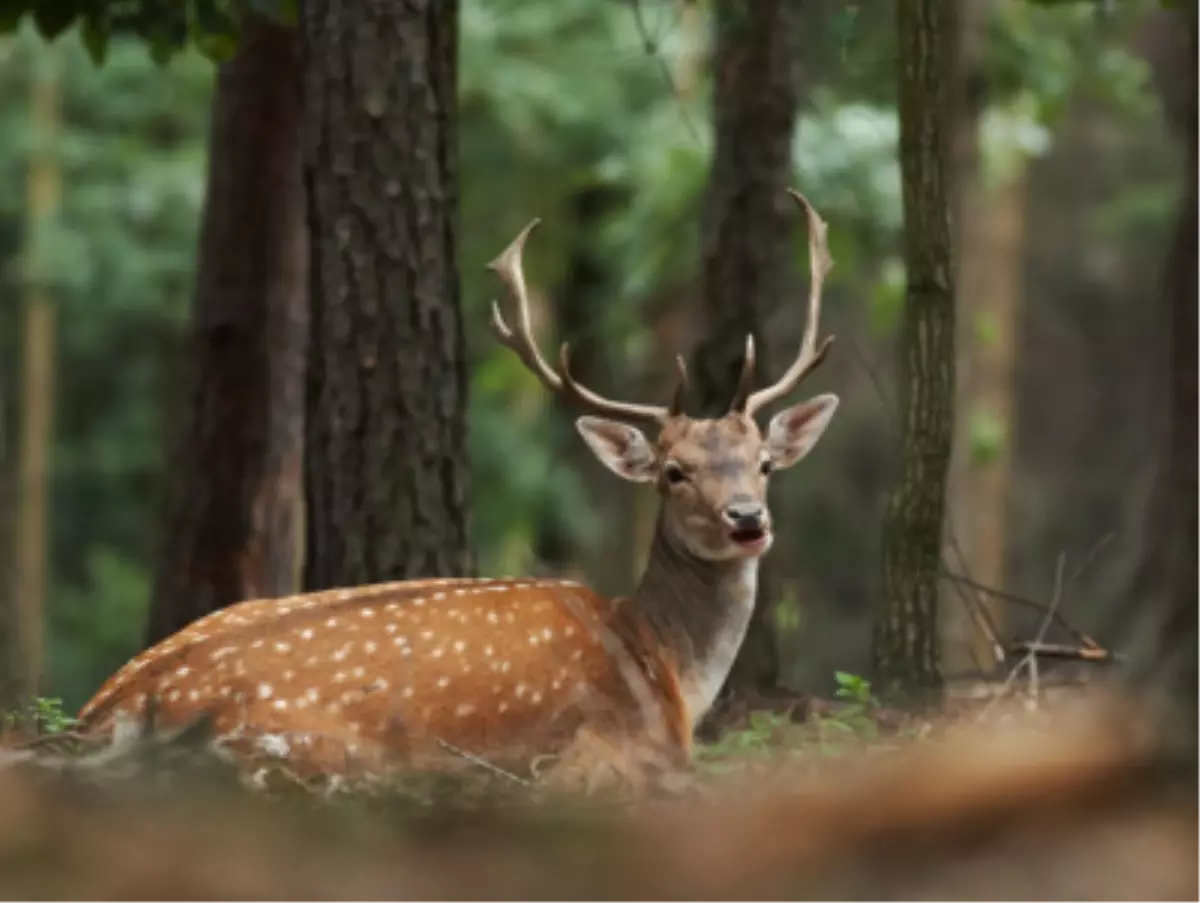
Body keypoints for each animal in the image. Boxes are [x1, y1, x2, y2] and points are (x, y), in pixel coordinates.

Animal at [77, 187, 835, 787]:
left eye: (763, 462)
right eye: (675, 472)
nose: (747, 519)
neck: (668, 669)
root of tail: (107, 709)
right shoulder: (615, 752)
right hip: (306, 744)